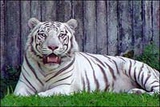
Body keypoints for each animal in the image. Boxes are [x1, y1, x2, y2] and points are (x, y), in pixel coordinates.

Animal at [13, 17, 159, 97]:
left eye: (61, 35)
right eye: (43, 35)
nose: (53, 47)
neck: (47, 69)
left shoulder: (63, 87)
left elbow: (43, 94)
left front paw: (37, 96)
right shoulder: (23, 85)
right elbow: (19, 96)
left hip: (138, 70)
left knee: (157, 91)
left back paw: (138, 93)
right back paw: (135, 92)